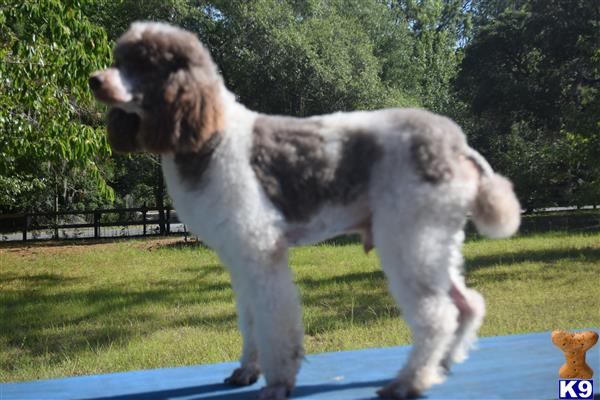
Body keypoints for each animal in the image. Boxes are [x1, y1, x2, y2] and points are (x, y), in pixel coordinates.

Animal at [89, 21, 520, 400]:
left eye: (143, 63)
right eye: (118, 57)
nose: (94, 80)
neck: (210, 134)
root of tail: (456, 145)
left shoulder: (262, 252)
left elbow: (275, 324)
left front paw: (278, 383)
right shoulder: (240, 260)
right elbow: (251, 320)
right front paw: (246, 371)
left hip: (409, 237)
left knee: (437, 315)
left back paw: (409, 381)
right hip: (433, 238)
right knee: (467, 304)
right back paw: (441, 366)